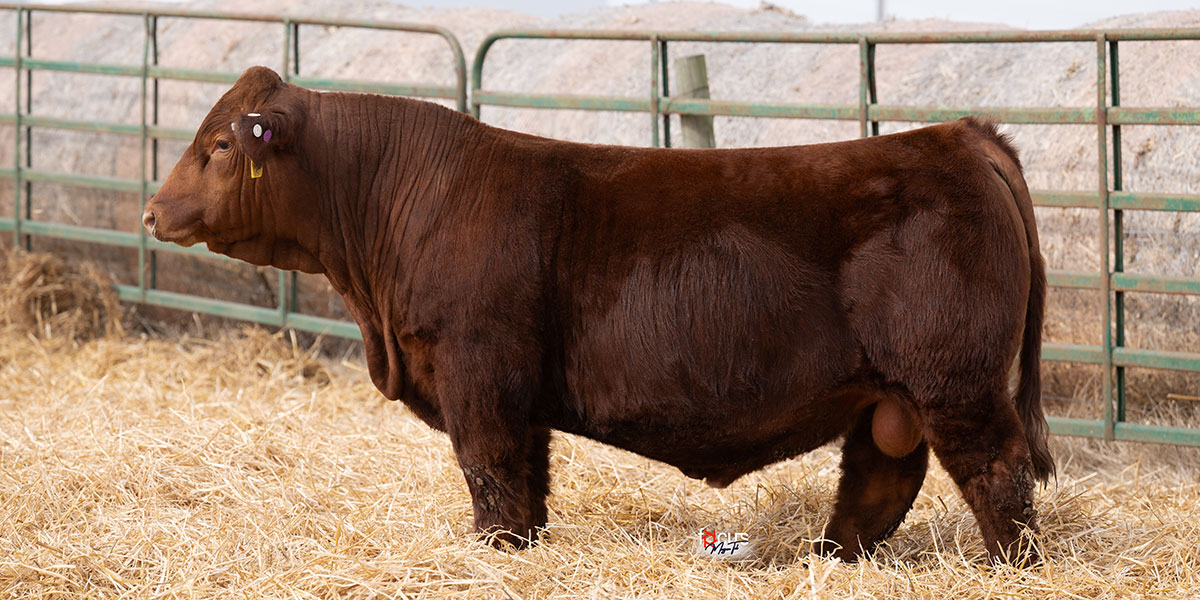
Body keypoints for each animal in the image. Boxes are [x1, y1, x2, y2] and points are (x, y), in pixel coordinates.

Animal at [143, 66, 1053, 564]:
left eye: (220, 145)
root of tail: (960, 136)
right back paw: (826, 561)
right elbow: (526, 483)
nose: (153, 212)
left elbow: (490, 474)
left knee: (998, 474)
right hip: (889, 395)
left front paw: (495, 553)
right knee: (878, 482)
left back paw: (1010, 568)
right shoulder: (518, 396)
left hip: (957, 381)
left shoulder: (478, 373)